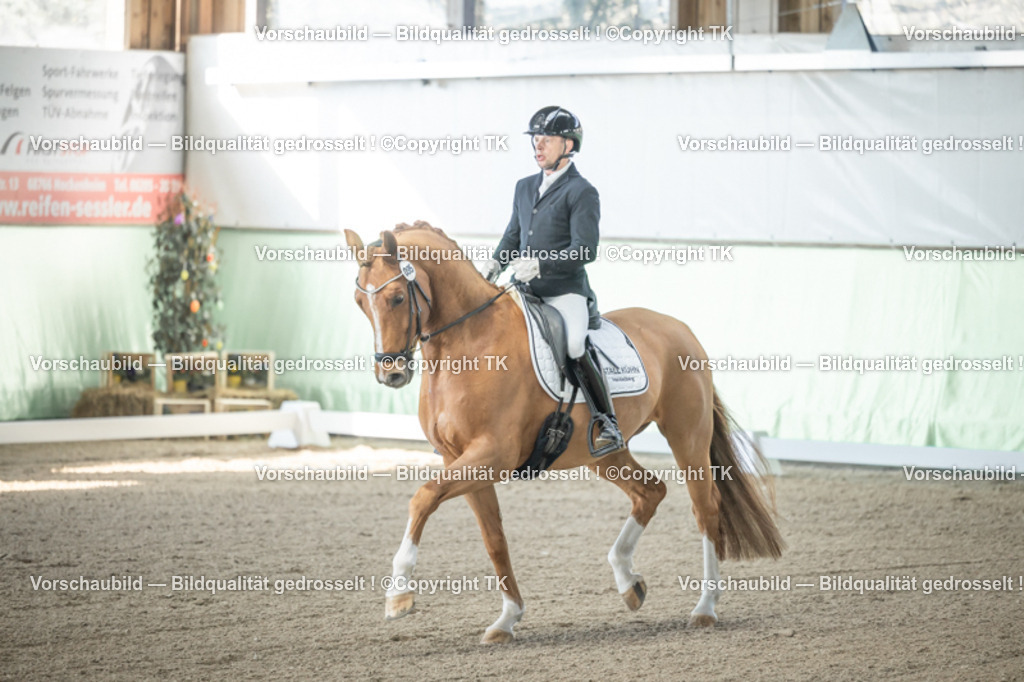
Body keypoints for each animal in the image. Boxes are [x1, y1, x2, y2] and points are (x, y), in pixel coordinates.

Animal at [344, 221, 783, 644]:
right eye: (360, 303)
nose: (391, 373)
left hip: (687, 435)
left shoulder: (492, 455)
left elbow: (423, 498)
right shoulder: (462, 460)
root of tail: (679, 327)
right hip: (602, 453)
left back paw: (704, 607)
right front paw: (507, 619)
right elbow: (494, 538)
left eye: (396, 298)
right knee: (650, 491)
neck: (469, 344)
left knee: (705, 507)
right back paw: (628, 581)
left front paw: (399, 594)